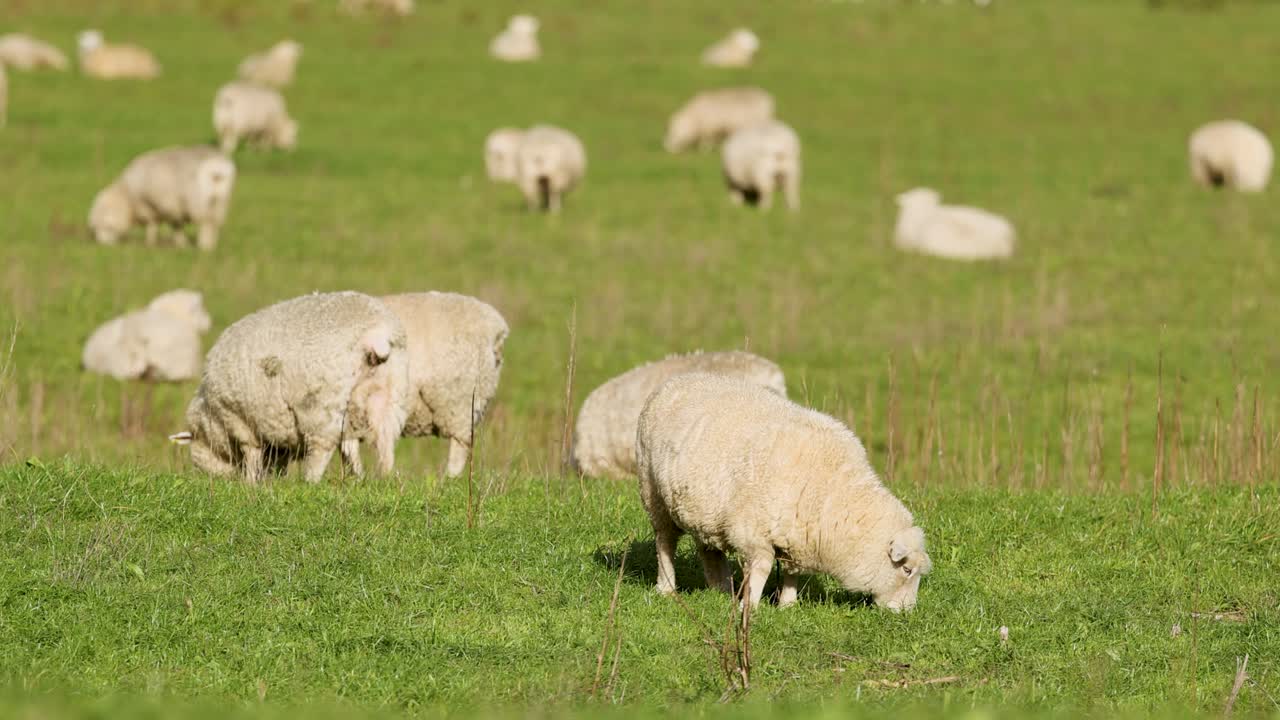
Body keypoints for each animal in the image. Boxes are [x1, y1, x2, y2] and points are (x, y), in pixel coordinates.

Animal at [89, 145, 236, 251]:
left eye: (104, 225)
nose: (103, 245)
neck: (127, 196)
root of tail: (217, 167)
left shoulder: (147, 207)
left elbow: (152, 226)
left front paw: (150, 243)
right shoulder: (175, 208)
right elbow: (177, 226)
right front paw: (181, 244)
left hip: (198, 201)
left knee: (206, 223)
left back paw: (204, 246)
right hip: (221, 200)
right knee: (215, 223)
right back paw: (211, 246)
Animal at [170, 292, 410, 484]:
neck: (212, 420)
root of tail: (376, 335)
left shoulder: (239, 420)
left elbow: (252, 454)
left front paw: (250, 483)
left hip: (320, 406)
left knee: (322, 449)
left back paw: (309, 481)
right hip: (386, 399)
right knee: (379, 444)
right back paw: (379, 479)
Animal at [636, 373, 932, 611]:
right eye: (906, 569)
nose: (906, 612)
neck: (833, 498)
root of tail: (675, 379)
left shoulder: (798, 536)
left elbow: (792, 571)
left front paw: (787, 604)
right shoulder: (751, 531)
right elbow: (762, 567)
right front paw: (750, 607)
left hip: (705, 511)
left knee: (708, 550)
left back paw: (720, 588)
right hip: (654, 495)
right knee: (665, 542)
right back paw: (667, 587)